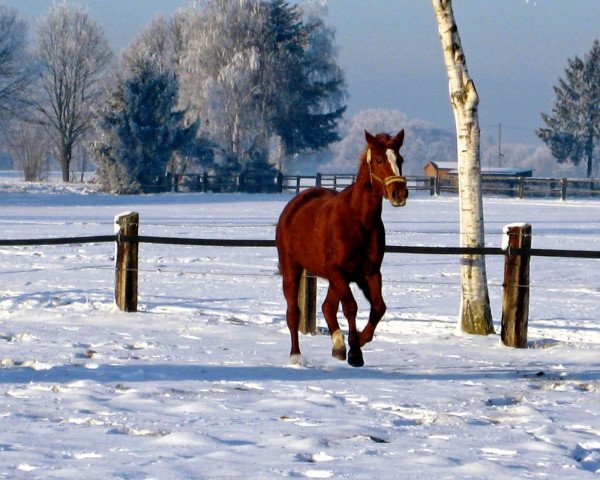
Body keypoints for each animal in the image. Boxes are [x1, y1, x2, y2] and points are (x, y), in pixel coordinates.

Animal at [276, 129, 408, 366]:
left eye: (400, 159)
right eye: (379, 159)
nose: (399, 193)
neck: (360, 221)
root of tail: (295, 203)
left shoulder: (369, 273)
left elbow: (378, 307)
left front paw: (359, 342)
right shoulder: (338, 270)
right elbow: (351, 307)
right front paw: (355, 352)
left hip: (338, 278)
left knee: (327, 307)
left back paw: (338, 345)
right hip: (293, 268)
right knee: (294, 312)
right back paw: (296, 355)